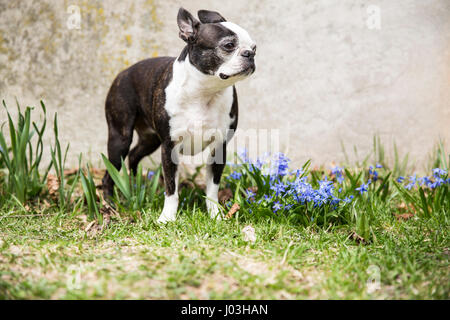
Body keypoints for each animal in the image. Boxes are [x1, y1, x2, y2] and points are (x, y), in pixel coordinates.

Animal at [102, 7, 256, 222]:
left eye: (254, 47)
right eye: (228, 45)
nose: (250, 54)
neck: (204, 92)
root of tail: (123, 72)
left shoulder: (219, 147)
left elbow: (212, 188)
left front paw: (215, 214)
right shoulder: (169, 147)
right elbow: (171, 189)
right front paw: (167, 218)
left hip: (150, 140)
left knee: (133, 156)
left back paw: (135, 188)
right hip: (120, 138)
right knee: (110, 172)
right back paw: (109, 203)